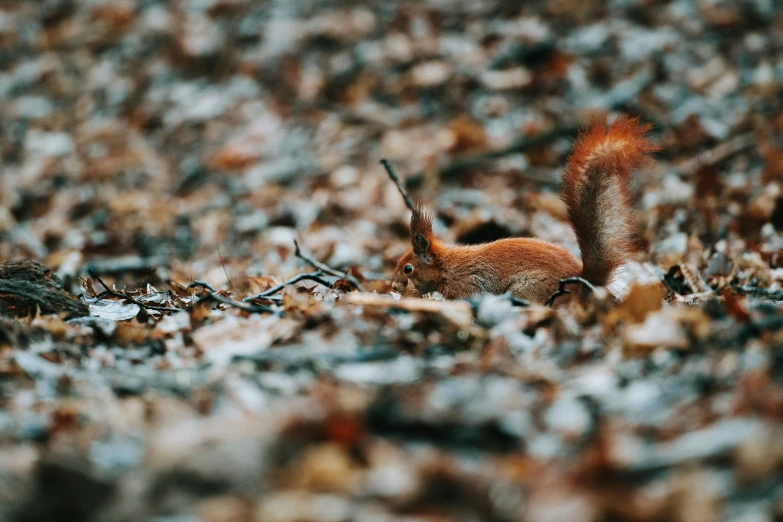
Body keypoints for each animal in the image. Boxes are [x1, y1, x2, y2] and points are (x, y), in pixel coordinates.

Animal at [390, 114, 656, 300]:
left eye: (408, 269)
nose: (392, 285)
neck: (448, 268)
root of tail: (583, 281)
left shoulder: (471, 284)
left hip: (530, 288)